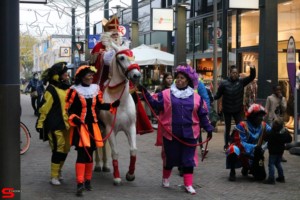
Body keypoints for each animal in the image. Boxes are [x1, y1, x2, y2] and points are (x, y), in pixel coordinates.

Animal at [98, 43, 141, 185]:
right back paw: (98, 165)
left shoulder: (131, 127)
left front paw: (130, 174)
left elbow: (133, 150)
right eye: (121, 58)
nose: (137, 75)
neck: (120, 103)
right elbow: (115, 152)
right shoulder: (110, 129)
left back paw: (105, 166)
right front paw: (117, 177)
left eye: (134, 55)